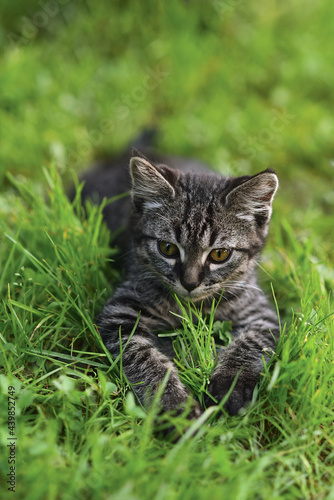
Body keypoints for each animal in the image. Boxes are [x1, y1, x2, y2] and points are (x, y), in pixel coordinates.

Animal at [80, 148, 280, 414]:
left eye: (219, 254)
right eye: (167, 248)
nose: (189, 283)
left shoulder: (259, 310)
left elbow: (250, 343)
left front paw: (230, 385)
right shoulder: (121, 310)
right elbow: (141, 353)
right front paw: (173, 404)